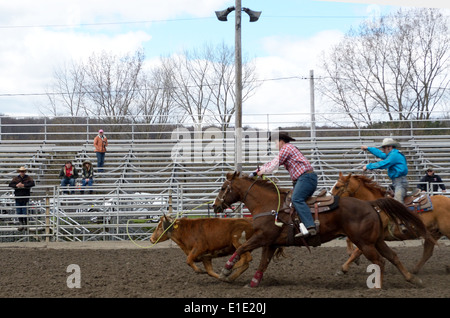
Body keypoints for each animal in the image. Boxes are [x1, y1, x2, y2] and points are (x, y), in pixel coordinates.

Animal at [213, 171, 430, 288]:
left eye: (223, 188)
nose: (215, 205)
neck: (269, 204)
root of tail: (370, 204)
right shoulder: (271, 242)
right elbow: (263, 263)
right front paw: (253, 283)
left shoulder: (262, 237)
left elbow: (242, 248)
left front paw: (225, 270)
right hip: (375, 240)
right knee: (392, 256)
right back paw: (413, 279)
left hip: (364, 242)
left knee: (380, 261)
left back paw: (376, 285)